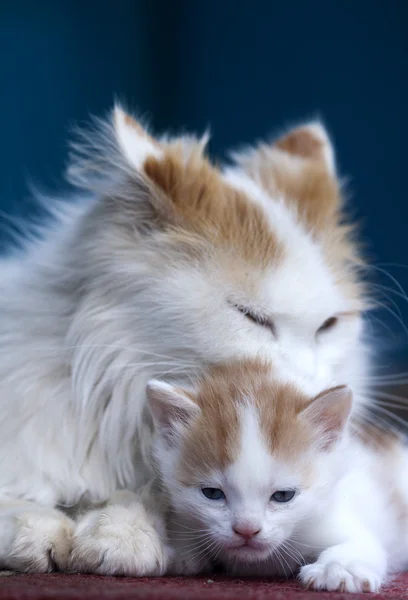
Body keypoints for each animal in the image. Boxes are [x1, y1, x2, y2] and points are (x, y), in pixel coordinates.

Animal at [147, 358, 408, 592]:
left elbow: (363, 545)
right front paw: (180, 548)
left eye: (283, 496)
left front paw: (338, 568)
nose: (247, 530)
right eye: (211, 493)